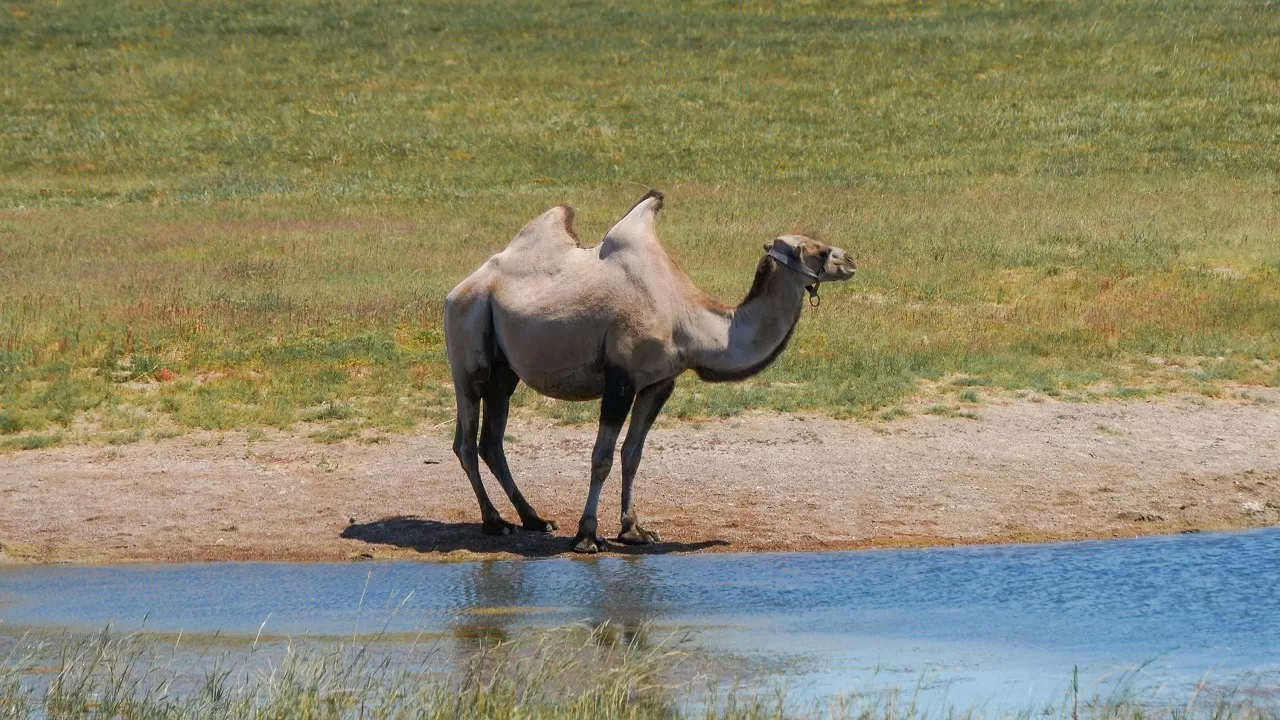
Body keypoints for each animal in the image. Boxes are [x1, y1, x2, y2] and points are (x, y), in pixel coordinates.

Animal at [445, 188, 855, 550]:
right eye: (818, 250)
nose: (851, 260)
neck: (688, 318)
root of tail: (459, 288)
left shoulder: (659, 383)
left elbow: (633, 454)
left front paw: (634, 530)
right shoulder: (620, 379)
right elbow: (602, 458)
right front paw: (587, 536)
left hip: (504, 371)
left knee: (491, 441)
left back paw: (534, 519)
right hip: (467, 339)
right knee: (466, 440)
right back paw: (494, 522)